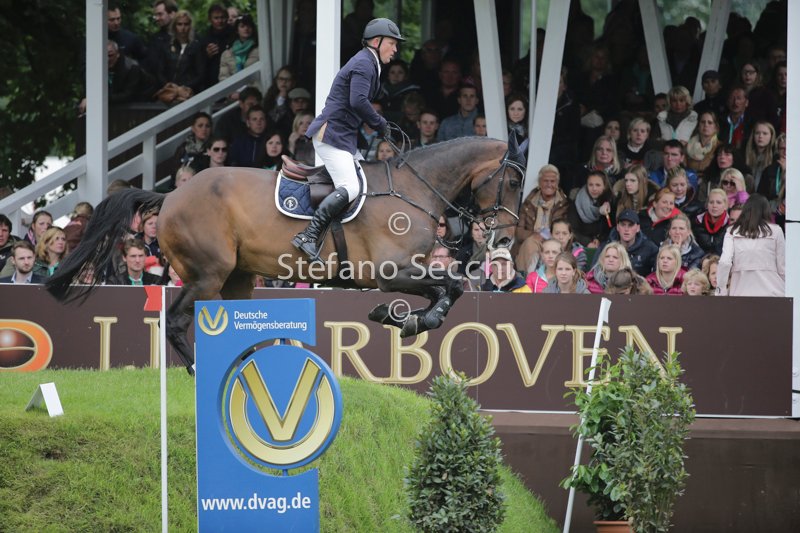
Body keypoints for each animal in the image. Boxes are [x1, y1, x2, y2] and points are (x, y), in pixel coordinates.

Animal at [47, 136, 526, 373]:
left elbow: (449, 288)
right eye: (514, 181)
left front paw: (403, 319)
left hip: (237, 280)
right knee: (178, 320)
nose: (504, 239)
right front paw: (409, 319)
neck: (413, 188)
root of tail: (171, 195)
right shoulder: (391, 273)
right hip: (208, 274)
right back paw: (201, 370)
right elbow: (451, 288)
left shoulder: (410, 271)